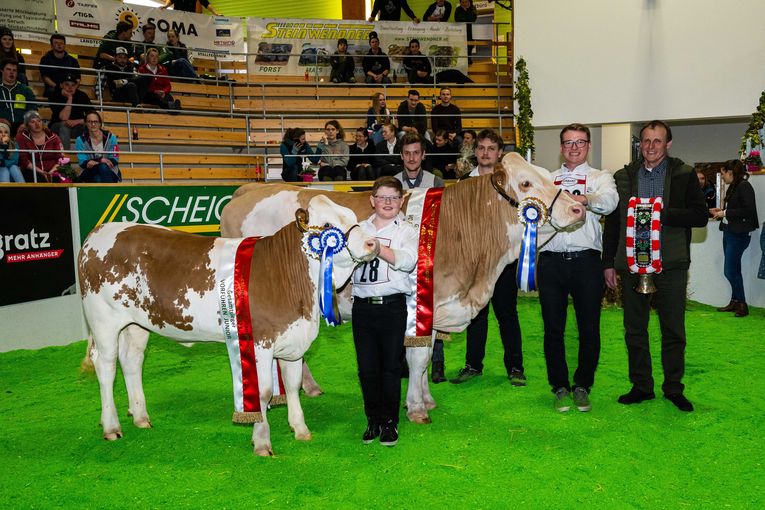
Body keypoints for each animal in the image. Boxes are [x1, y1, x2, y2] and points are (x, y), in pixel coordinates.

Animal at [79, 194, 378, 454]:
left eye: (353, 217)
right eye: (327, 226)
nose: (372, 243)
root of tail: (100, 231)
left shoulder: (293, 338)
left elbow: (292, 385)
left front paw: (300, 429)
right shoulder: (259, 342)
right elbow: (263, 393)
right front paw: (262, 442)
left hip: (136, 325)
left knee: (131, 361)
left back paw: (140, 416)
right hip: (104, 320)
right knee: (106, 366)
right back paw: (111, 426)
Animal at [221, 153, 584, 424]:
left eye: (548, 175)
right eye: (525, 183)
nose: (578, 208)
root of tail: (247, 190)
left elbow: (425, 357)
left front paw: (425, 398)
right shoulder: (418, 305)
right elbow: (418, 358)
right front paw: (417, 408)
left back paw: (308, 388)